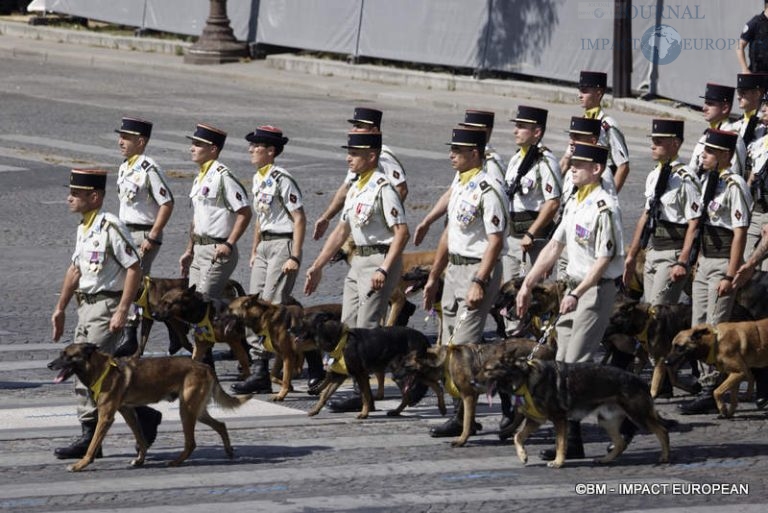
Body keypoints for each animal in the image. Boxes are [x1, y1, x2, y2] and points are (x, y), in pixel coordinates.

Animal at [47, 342, 249, 470]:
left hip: (187, 410)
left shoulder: (106, 417)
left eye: (68, 356)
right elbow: (141, 438)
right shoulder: (127, 412)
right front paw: (140, 460)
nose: (49, 364)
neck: (101, 369)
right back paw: (229, 451)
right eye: (60, 354)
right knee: (221, 425)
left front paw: (81, 464)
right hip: (197, 410)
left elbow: (92, 445)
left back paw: (176, 462)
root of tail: (205, 366)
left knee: (191, 442)